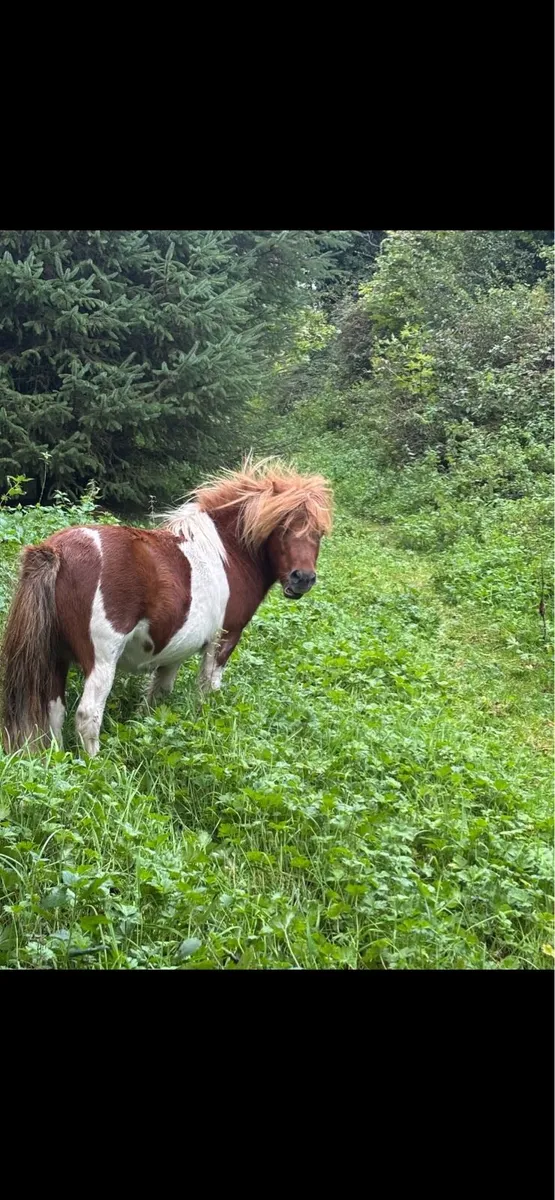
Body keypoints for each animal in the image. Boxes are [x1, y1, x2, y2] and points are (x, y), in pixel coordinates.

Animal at [1, 458, 333, 756]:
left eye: (318, 533)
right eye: (283, 527)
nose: (303, 578)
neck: (228, 552)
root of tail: (57, 550)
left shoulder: (175, 650)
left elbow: (158, 697)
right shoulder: (224, 639)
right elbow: (207, 691)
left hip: (56, 656)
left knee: (54, 712)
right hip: (101, 661)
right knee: (87, 716)